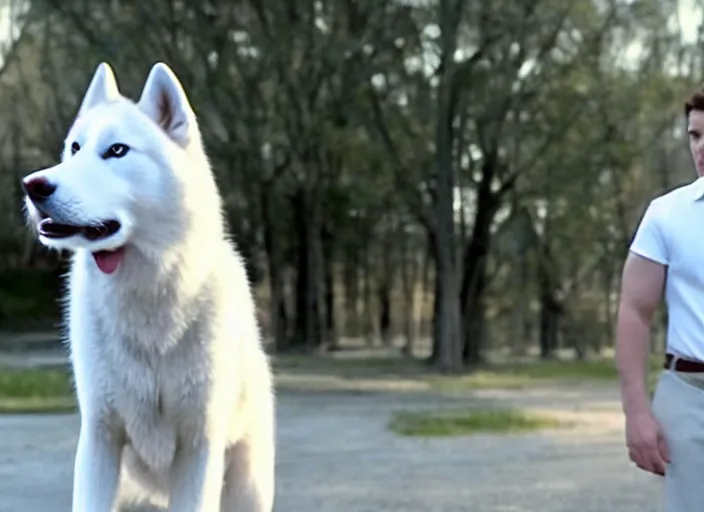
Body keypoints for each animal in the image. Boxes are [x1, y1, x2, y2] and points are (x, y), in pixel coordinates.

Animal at [22, 62, 276, 510]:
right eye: (74, 148)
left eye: (116, 151)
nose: (33, 185)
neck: (146, 295)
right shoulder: (101, 437)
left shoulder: (198, 444)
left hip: (247, 487)